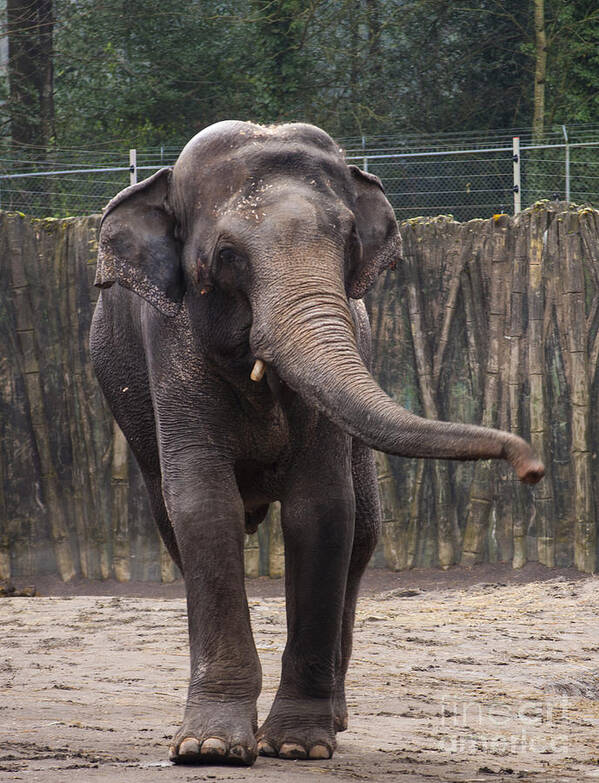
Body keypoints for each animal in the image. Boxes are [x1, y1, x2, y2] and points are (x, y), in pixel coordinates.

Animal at [89, 121, 544, 764]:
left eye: (348, 240)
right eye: (227, 256)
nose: (532, 468)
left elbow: (323, 508)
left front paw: (298, 746)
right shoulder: (170, 349)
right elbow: (204, 507)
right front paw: (209, 747)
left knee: (365, 530)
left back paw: (335, 717)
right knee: (172, 525)